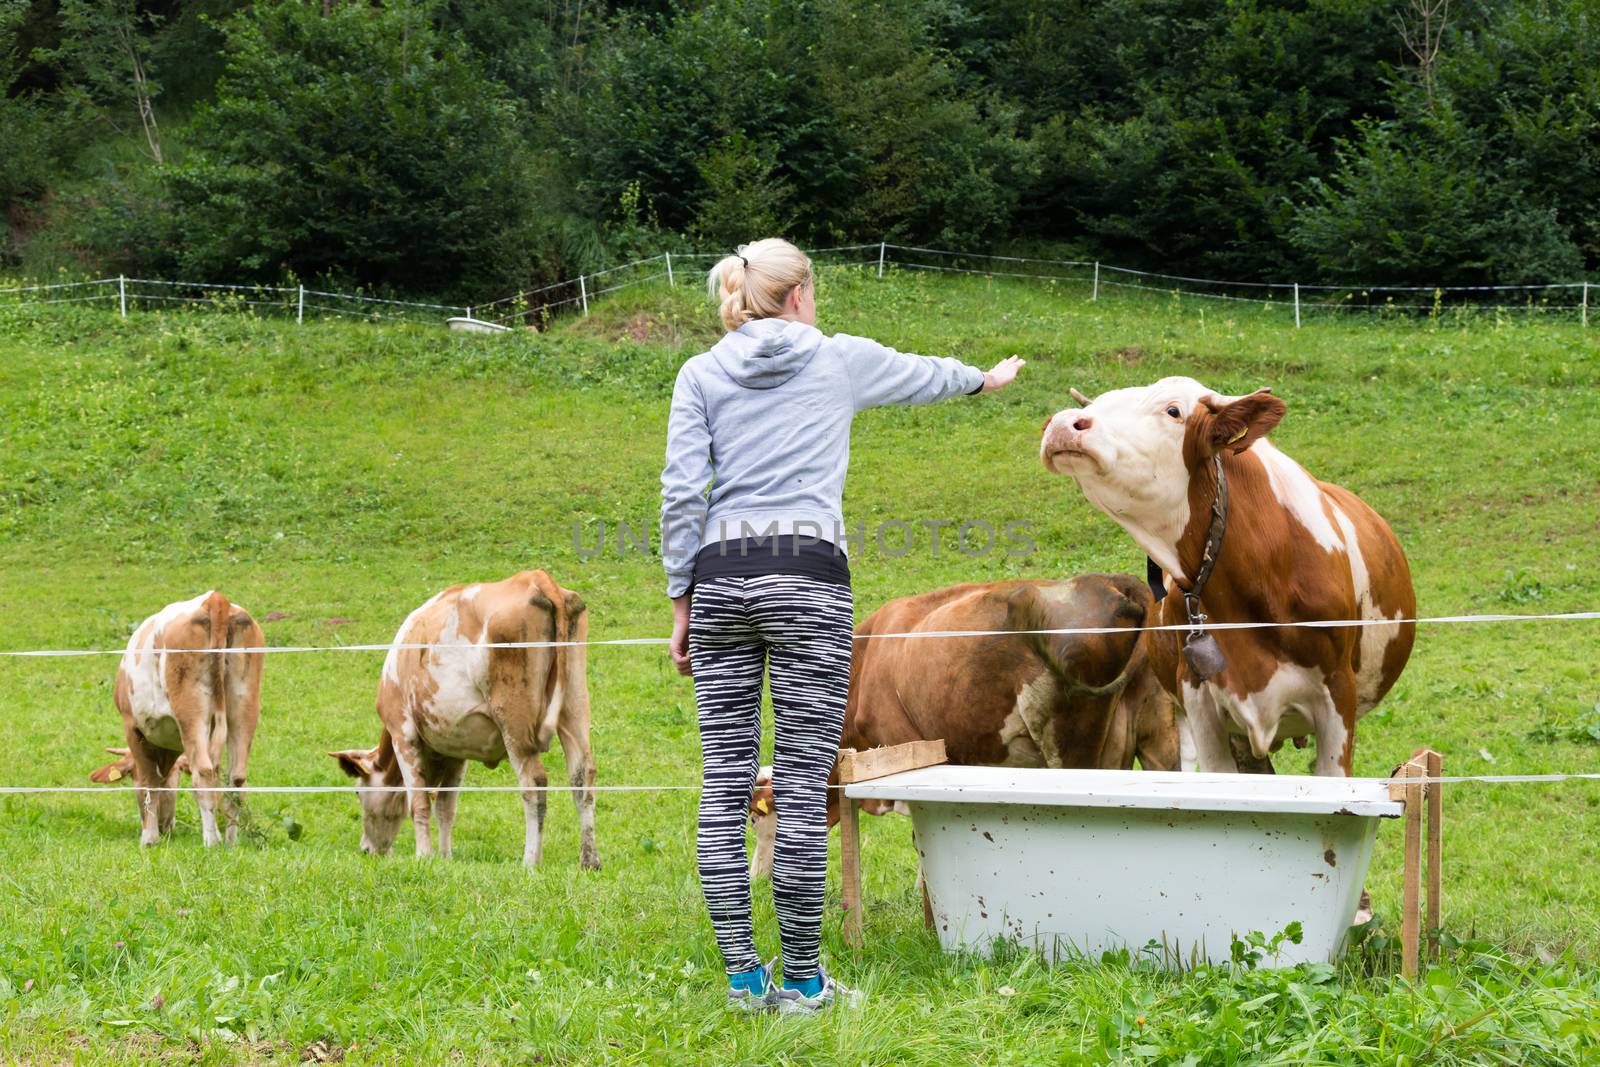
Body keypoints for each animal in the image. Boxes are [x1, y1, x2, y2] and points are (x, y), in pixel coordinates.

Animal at [112, 588, 264, 844]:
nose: (165, 827)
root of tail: (215, 599)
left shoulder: (133, 728)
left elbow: (150, 783)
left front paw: (149, 838)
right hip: (244, 705)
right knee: (236, 780)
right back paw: (231, 842)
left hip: (191, 711)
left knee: (203, 774)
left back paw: (211, 842)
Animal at [329, 566, 601, 870]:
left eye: (357, 791)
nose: (367, 849)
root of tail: (536, 578)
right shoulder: (455, 749)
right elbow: (446, 807)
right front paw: (446, 857)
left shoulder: (403, 732)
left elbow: (419, 802)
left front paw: (424, 855)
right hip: (575, 707)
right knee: (582, 777)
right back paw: (589, 861)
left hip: (514, 722)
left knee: (534, 783)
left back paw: (530, 860)